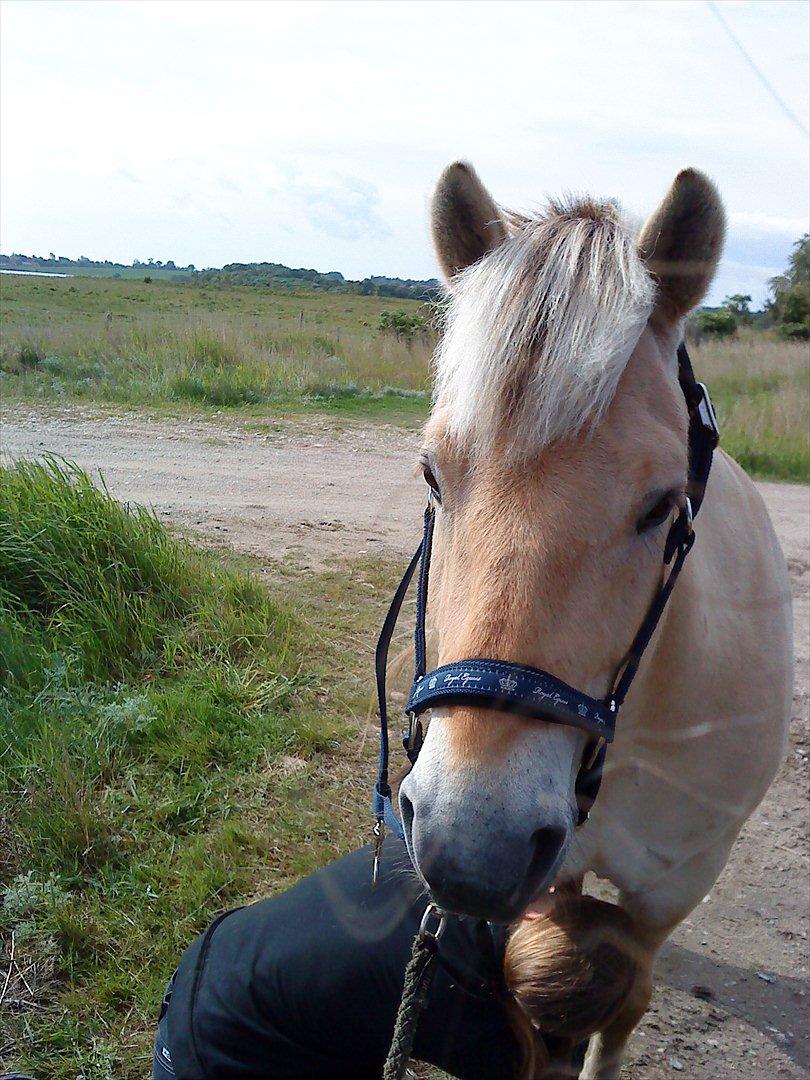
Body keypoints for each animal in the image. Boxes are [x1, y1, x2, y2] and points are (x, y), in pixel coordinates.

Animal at [397, 162, 794, 1080]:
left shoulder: (670, 893)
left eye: (662, 506)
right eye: (432, 474)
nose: (470, 845)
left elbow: (622, 1009)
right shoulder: (557, 871)